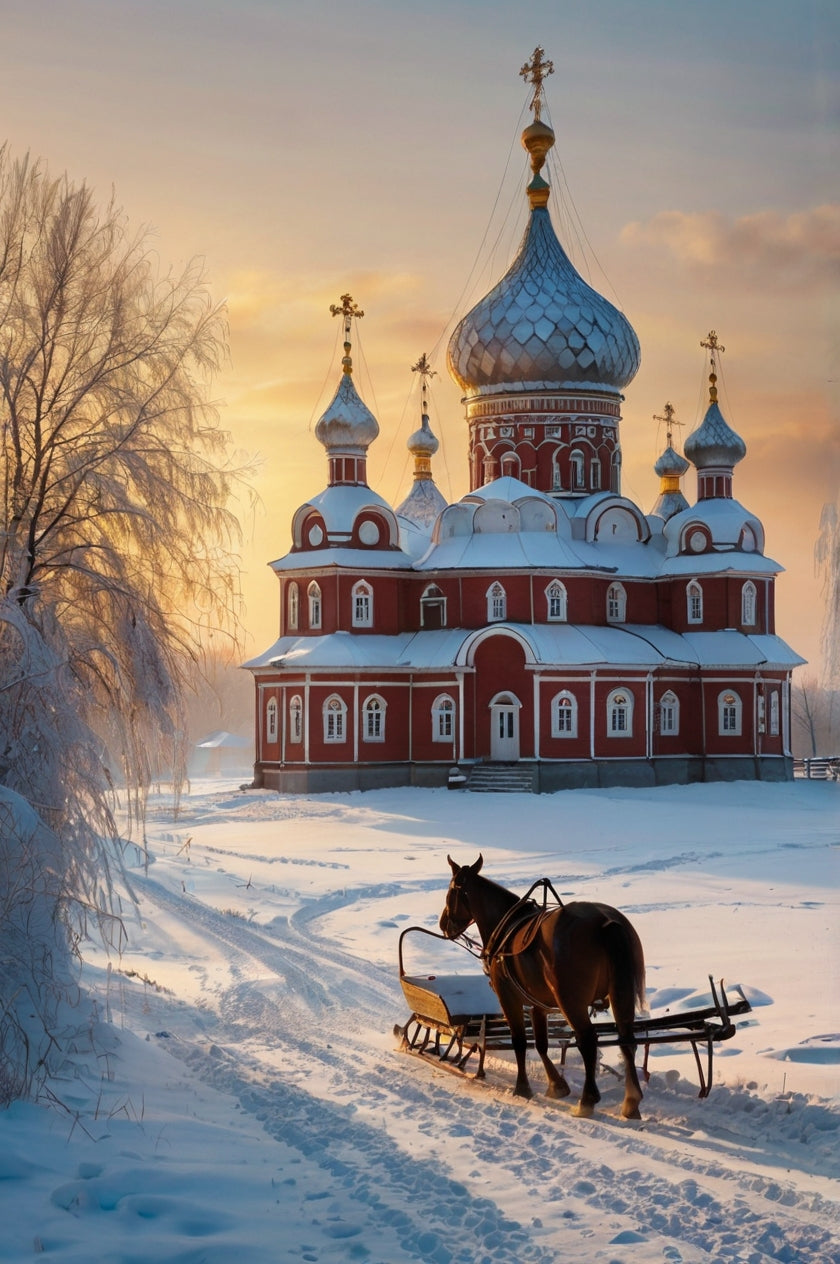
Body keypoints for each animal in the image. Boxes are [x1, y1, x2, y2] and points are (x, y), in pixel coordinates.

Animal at [439, 855, 646, 1119]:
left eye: (451, 891)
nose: (443, 924)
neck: (505, 927)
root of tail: (605, 922)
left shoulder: (509, 998)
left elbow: (519, 1041)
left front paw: (522, 1087)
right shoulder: (538, 1006)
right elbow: (541, 1044)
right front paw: (556, 1085)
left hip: (571, 1002)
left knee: (588, 1041)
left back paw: (587, 1100)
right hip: (621, 993)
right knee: (627, 1040)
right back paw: (631, 1101)